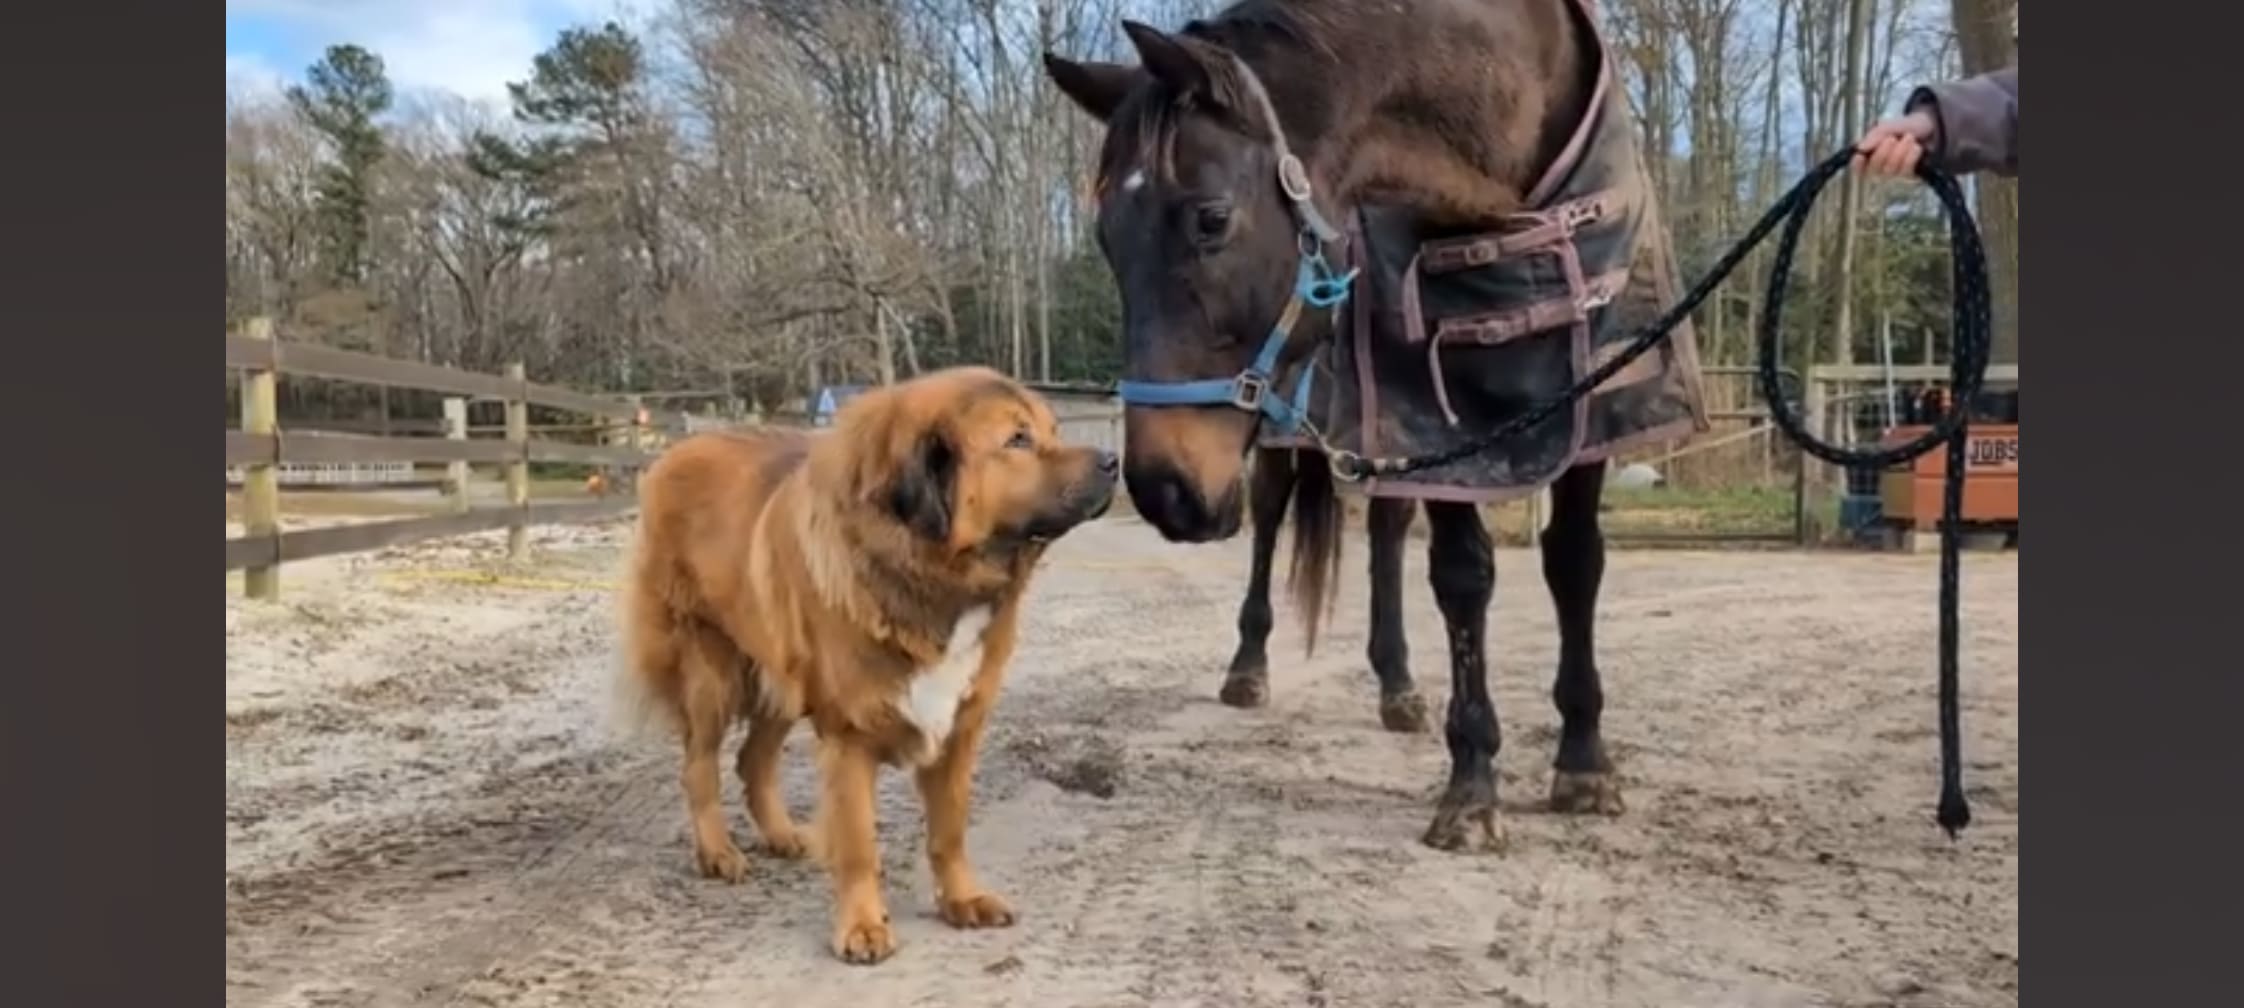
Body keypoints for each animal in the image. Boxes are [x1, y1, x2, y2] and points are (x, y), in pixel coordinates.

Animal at [1045, 0, 1709, 850]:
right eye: (1107, 239)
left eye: (1211, 219)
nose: (1164, 490)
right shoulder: (1447, 434)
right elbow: (1462, 579)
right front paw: (1472, 787)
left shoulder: (1585, 412)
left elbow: (1573, 564)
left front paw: (1585, 763)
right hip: (1284, 443)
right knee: (1270, 524)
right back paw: (1249, 669)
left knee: (1387, 533)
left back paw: (1398, 686)